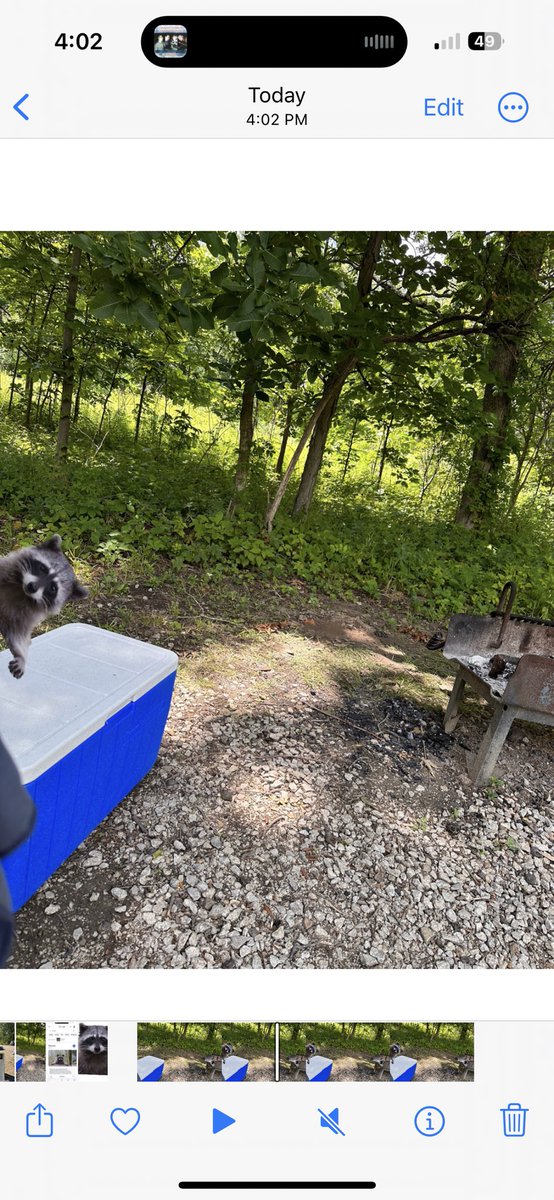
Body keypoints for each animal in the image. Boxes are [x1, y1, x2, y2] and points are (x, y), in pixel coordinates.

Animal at [0, 535, 88, 678]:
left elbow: (17, 634)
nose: (32, 587)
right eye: (42, 568)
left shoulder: (20, 615)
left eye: (53, 588)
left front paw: (21, 655)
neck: (21, 590)